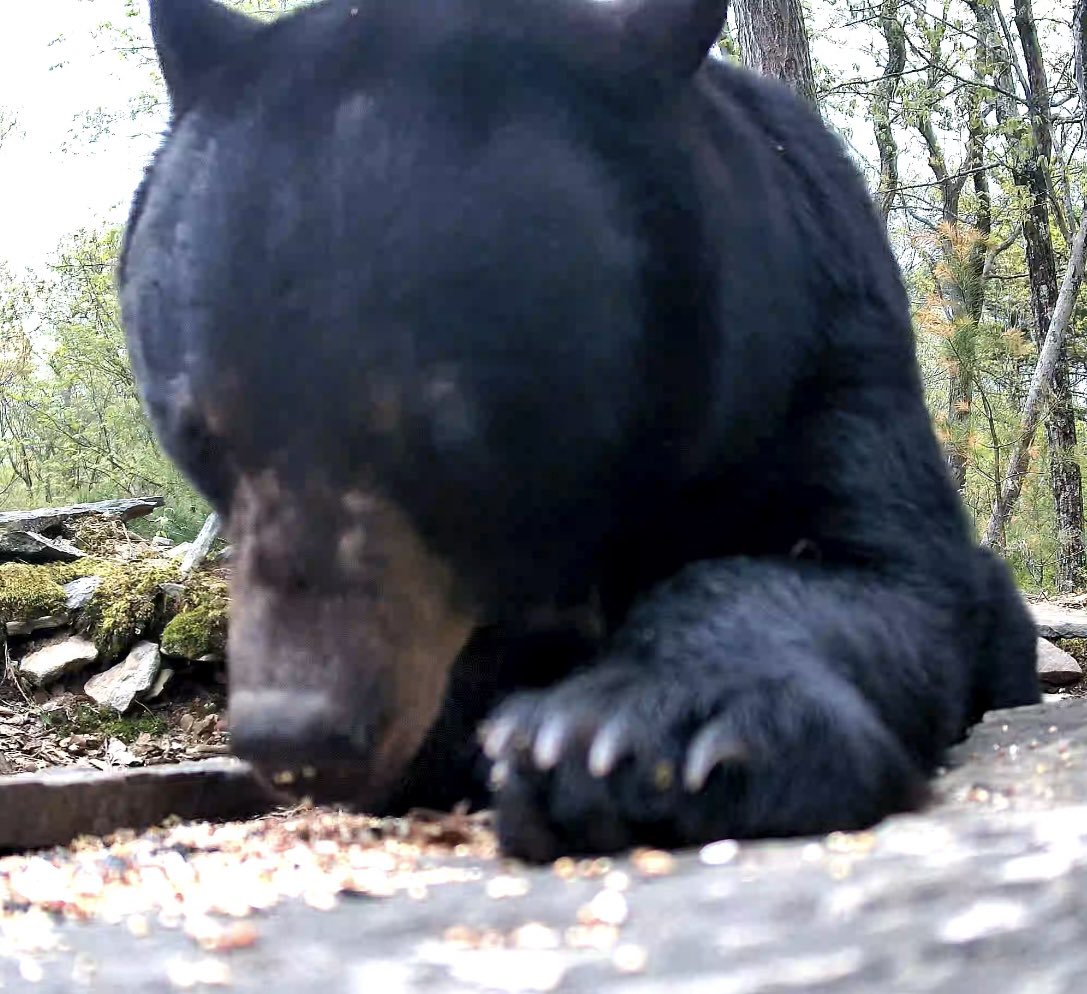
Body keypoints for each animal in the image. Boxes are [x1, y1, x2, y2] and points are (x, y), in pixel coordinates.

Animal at [119, 0, 1040, 862]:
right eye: (199, 434)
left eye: (447, 437)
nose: (300, 736)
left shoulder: (815, 342)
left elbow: (874, 572)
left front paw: (626, 737)